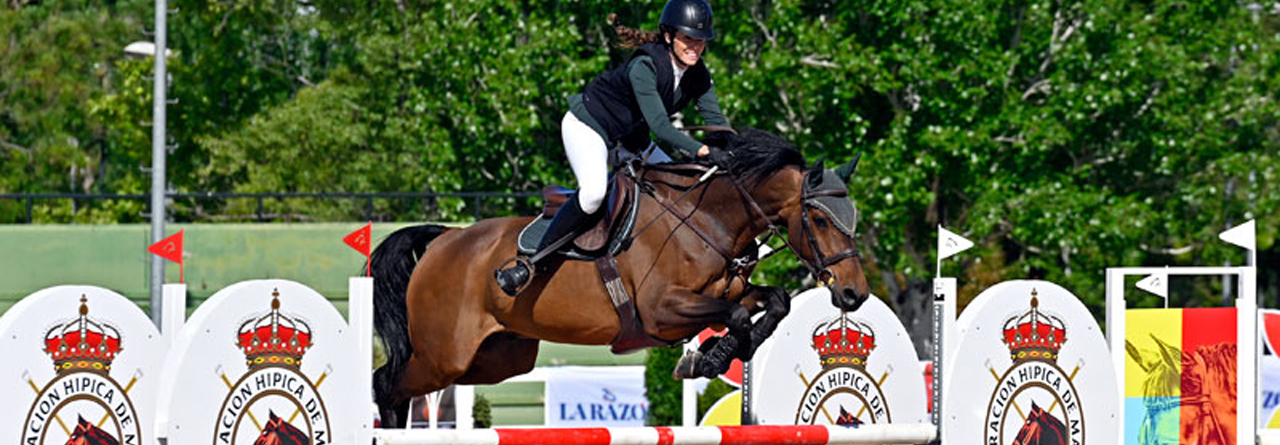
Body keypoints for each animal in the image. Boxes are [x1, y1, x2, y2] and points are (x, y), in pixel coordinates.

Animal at [371, 127, 870, 427]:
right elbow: (736, 316)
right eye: (819, 219)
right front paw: (706, 360)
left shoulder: (729, 293)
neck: (706, 220)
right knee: (386, 384)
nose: (854, 294)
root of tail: (445, 239)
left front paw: (715, 355)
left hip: (496, 359)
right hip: (445, 355)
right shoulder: (661, 312)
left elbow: (773, 302)